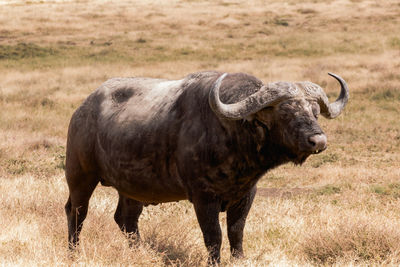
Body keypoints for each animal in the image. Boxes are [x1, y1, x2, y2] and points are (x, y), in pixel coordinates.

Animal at [64, 70, 348, 264]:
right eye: (286, 112)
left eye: (314, 111)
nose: (318, 140)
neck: (232, 133)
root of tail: (82, 110)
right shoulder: (203, 198)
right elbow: (214, 237)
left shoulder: (246, 195)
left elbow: (236, 232)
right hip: (80, 176)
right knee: (76, 212)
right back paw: (73, 252)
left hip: (132, 188)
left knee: (126, 219)